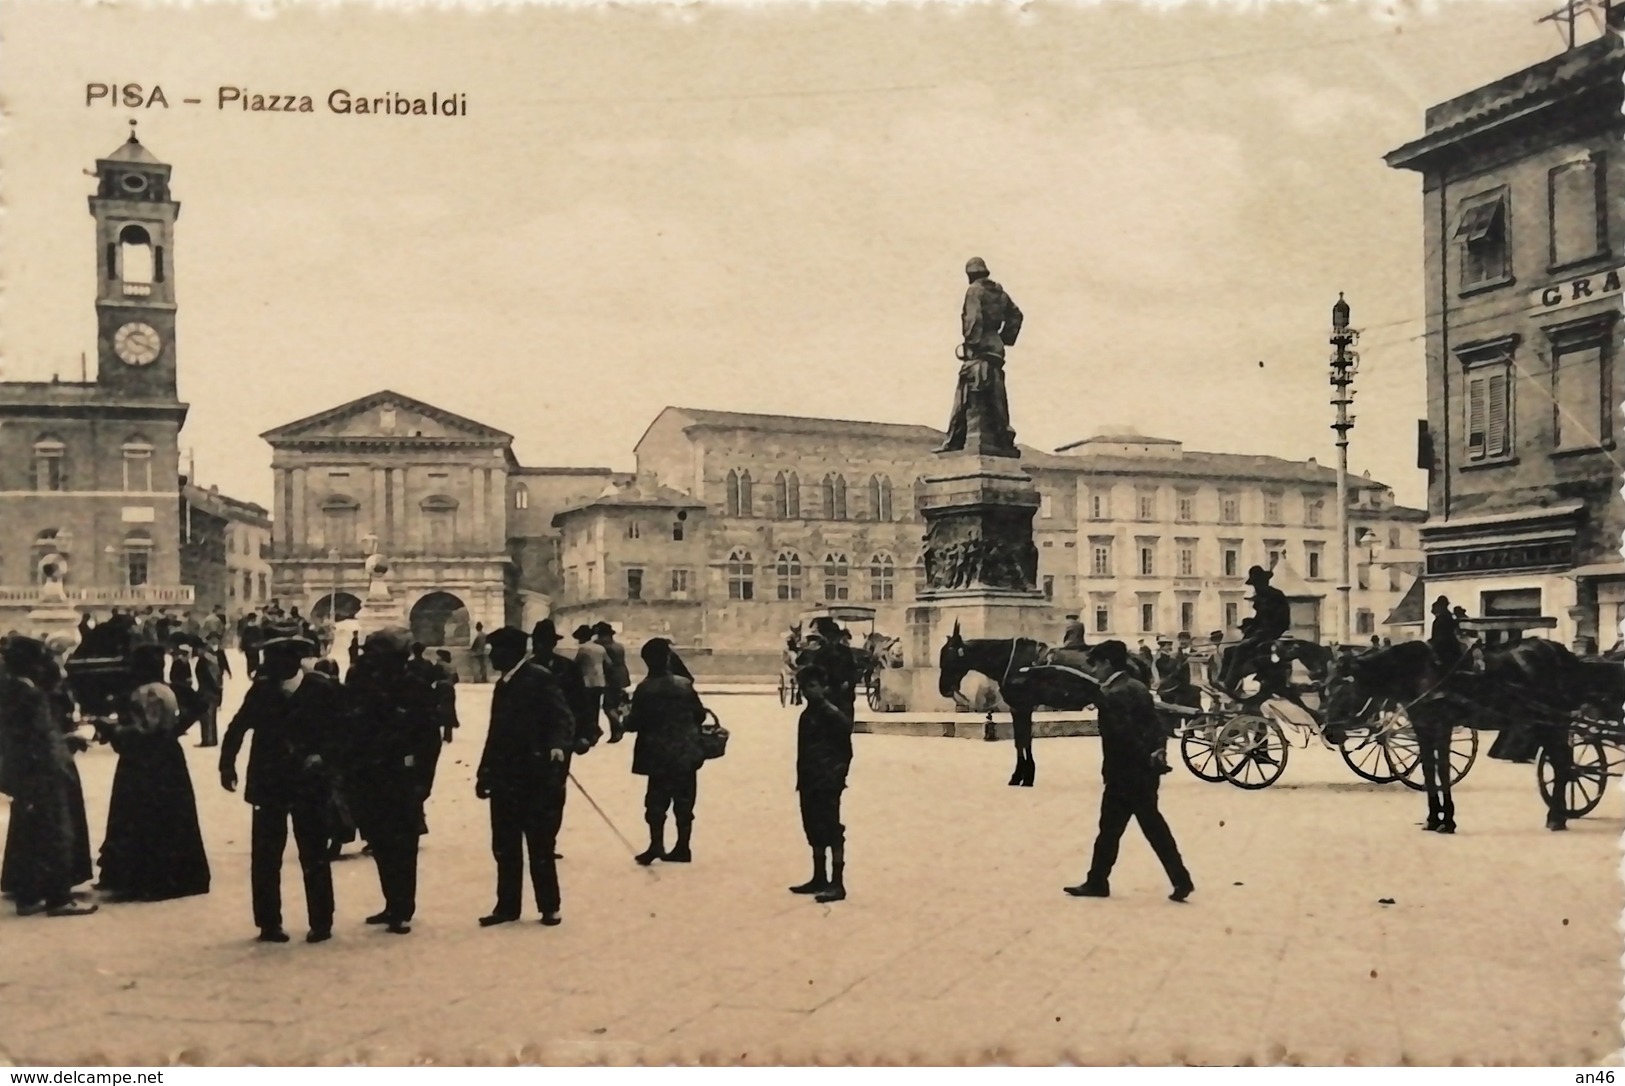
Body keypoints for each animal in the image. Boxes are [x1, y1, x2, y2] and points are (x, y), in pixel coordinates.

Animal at [942, 624, 1157, 783]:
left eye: (949, 657)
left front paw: (1022, 776)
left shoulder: (1020, 707)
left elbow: (1022, 741)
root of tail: (1133, 657)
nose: (943, 689)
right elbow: (1023, 740)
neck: (1015, 662)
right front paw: (1025, 774)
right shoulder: (1021, 708)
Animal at [1319, 637, 1612, 832]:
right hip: (1544, 722)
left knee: (1562, 764)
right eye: (1325, 688)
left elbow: (1443, 770)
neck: (1421, 672)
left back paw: (1556, 817)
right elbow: (1429, 770)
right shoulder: (1423, 727)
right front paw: (1432, 819)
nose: (1330, 732)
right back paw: (1559, 816)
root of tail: (1559, 651)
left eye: (1343, 690)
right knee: (1562, 762)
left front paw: (1447, 821)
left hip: (1554, 722)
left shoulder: (1442, 725)